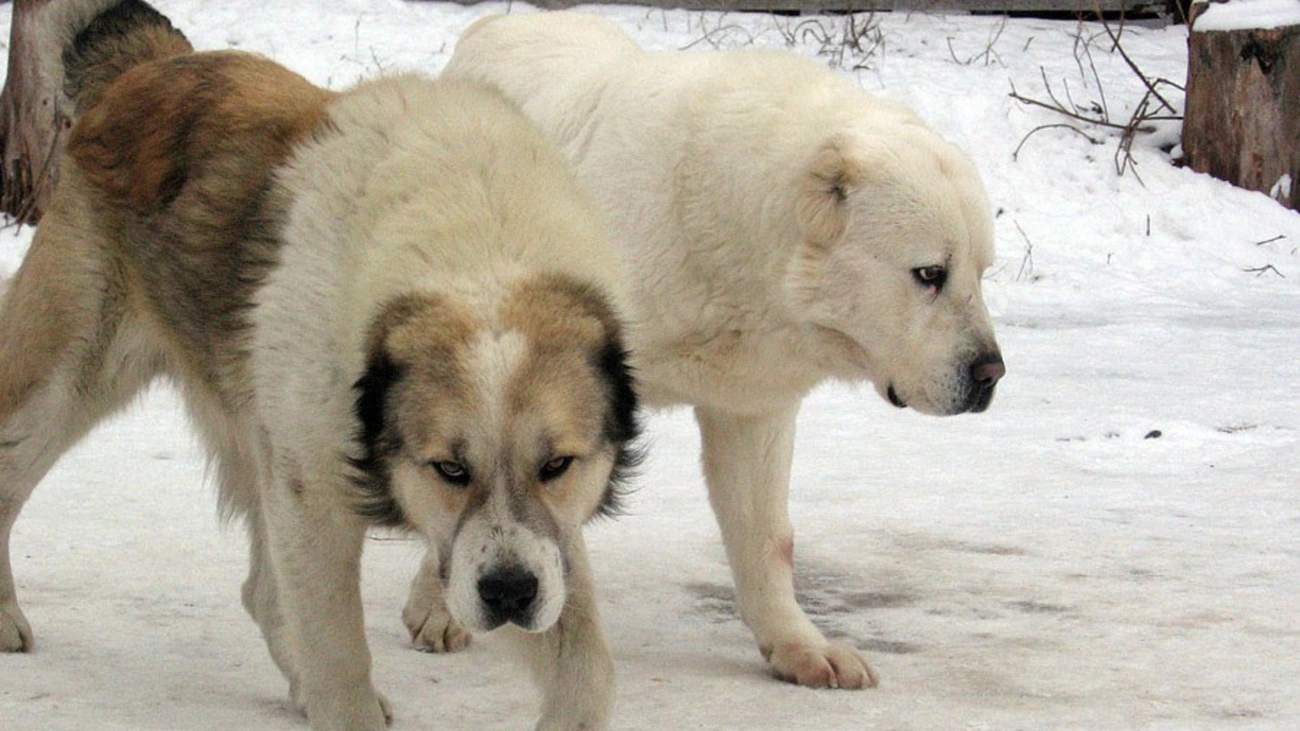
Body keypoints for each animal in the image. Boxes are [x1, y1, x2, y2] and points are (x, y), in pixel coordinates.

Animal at [0, 2, 639, 723]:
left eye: (557, 466)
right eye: (449, 469)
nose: (508, 593)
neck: (475, 246)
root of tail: (153, 63)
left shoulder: (545, 545)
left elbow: (588, 672)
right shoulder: (316, 500)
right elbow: (340, 663)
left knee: (262, 590)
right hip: (63, 381)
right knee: (8, 473)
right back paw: (4, 616)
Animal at [423, 8, 1003, 686]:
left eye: (981, 273)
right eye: (929, 274)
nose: (991, 372)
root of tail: (498, 21)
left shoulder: (754, 404)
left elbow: (768, 537)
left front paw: (798, 644)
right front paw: (445, 609)